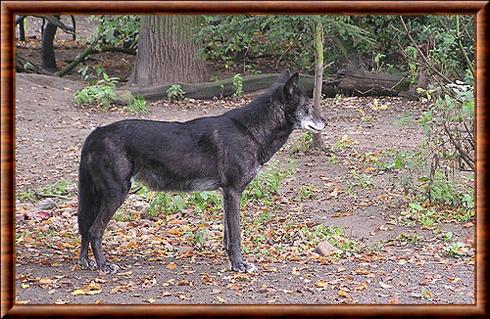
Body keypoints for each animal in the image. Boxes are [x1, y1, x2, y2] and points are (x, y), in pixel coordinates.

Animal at [77, 70, 326, 276]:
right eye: (308, 106)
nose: (325, 122)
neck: (249, 130)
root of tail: (95, 134)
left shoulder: (226, 194)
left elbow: (227, 236)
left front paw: (233, 262)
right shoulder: (233, 192)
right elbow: (236, 235)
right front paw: (240, 265)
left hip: (98, 195)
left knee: (85, 227)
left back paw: (86, 262)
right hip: (116, 194)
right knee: (94, 230)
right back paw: (103, 265)